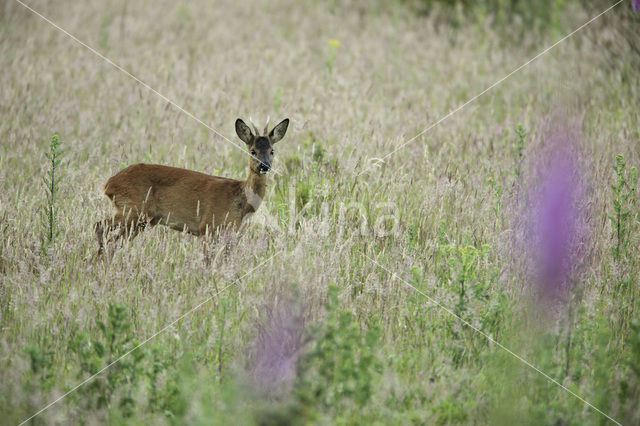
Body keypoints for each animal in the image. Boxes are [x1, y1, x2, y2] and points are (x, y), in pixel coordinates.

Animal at [94, 116, 288, 251]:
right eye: (253, 151)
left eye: (272, 150)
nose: (264, 166)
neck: (239, 200)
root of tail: (109, 184)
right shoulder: (208, 227)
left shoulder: (230, 233)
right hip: (133, 209)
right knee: (101, 228)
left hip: (138, 218)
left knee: (109, 237)